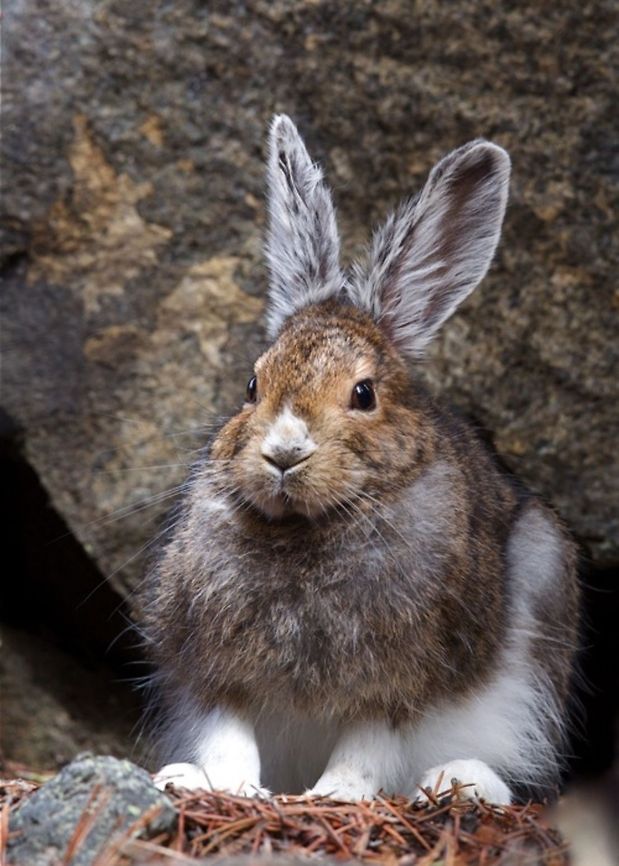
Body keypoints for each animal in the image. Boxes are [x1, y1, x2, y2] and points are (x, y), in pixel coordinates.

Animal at [143, 115, 580, 805]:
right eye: (251, 384)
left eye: (364, 395)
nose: (285, 452)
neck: (303, 532)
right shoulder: (212, 666)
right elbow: (228, 734)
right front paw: (226, 787)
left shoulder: (402, 681)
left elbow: (368, 745)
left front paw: (334, 796)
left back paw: (462, 781)